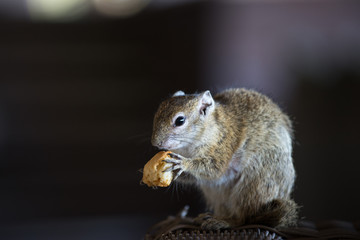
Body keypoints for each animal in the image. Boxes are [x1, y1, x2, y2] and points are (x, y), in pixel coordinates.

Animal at [151, 87, 298, 229]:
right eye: (157, 113)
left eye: (180, 121)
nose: (156, 143)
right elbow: (193, 177)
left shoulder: (225, 144)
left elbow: (214, 169)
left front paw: (184, 163)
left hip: (253, 185)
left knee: (243, 219)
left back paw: (223, 222)